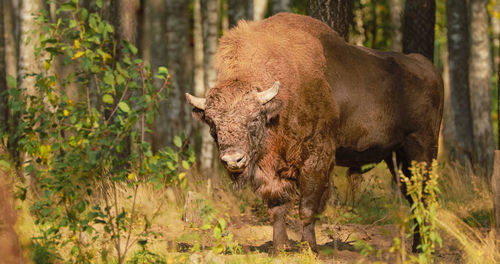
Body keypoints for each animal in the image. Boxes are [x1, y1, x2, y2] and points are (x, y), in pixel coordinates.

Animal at [187, 13, 442, 253]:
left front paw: (309, 246)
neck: (279, 105)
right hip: (396, 158)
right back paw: (418, 248)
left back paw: (424, 248)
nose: (233, 160)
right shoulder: (271, 170)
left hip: (422, 151)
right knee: (414, 200)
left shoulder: (316, 159)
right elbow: (277, 208)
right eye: (212, 125)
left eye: (254, 119)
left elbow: (307, 207)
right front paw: (280, 248)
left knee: (424, 198)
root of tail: (430, 70)